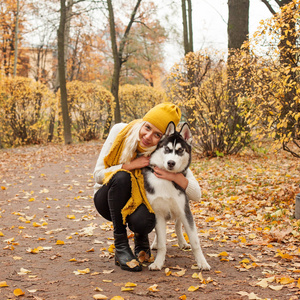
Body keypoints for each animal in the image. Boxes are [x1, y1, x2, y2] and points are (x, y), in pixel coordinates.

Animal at [144, 120, 211, 270]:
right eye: (167, 149)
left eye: (180, 150)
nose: (171, 163)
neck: (166, 180)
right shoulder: (158, 213)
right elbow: (162, 243)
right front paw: (158, 262)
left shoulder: (185, 211)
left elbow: (195, 242)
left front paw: (202, 262)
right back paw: (155, 243)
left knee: (177, 225)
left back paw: (182, 242)